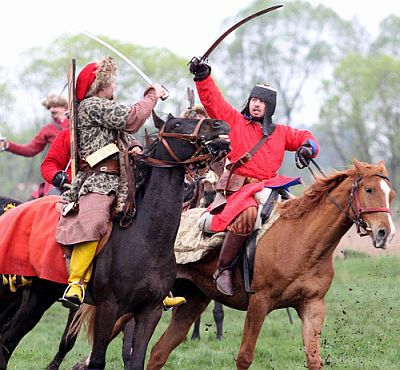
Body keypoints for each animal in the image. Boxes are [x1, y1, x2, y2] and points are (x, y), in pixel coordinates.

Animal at [0, 114, 228, 368]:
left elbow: (136, 360)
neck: (147, 239)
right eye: (177, 124)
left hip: (40, 294)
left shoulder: (150, 311)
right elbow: (96, 359)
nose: (220, 125)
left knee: (7, 340)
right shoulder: (108, 308)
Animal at [148, 160, 396, 370]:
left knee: (158, 352)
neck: (303, 242)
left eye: (391, 195)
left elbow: (314, 359)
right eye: (369, 190)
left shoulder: (312, 305)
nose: (386, 233)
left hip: (192, 301)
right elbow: (244, 357)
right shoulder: (259, 303)